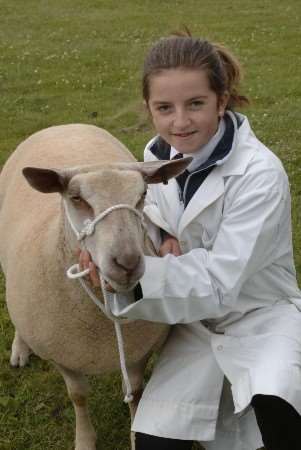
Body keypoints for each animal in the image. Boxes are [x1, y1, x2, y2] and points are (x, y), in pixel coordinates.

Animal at [0, 123, 190, 450]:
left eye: (143, 194)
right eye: (76, 198)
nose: (127, 262)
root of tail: (63, 126)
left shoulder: (139, 350)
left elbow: (135, 391)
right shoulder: (64, 356)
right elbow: (78, 396)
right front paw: (85, 440)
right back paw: (20, 349)